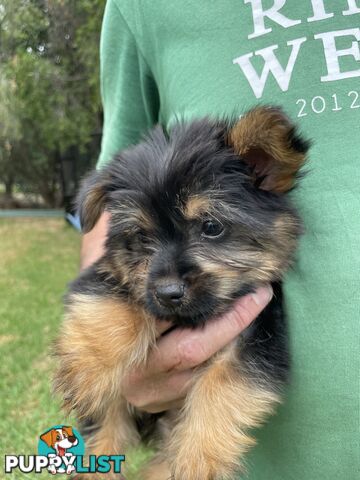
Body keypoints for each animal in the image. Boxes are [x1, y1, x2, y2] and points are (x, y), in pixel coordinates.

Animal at [53, 107, 310, 478]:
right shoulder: (109, 273)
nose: (167, 292)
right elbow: (117, 302)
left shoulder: (261, 336)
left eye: (212, 227)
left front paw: (199, 457)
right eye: (141, 236)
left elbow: (224, 383)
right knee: (106, 429)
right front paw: (88, 369)